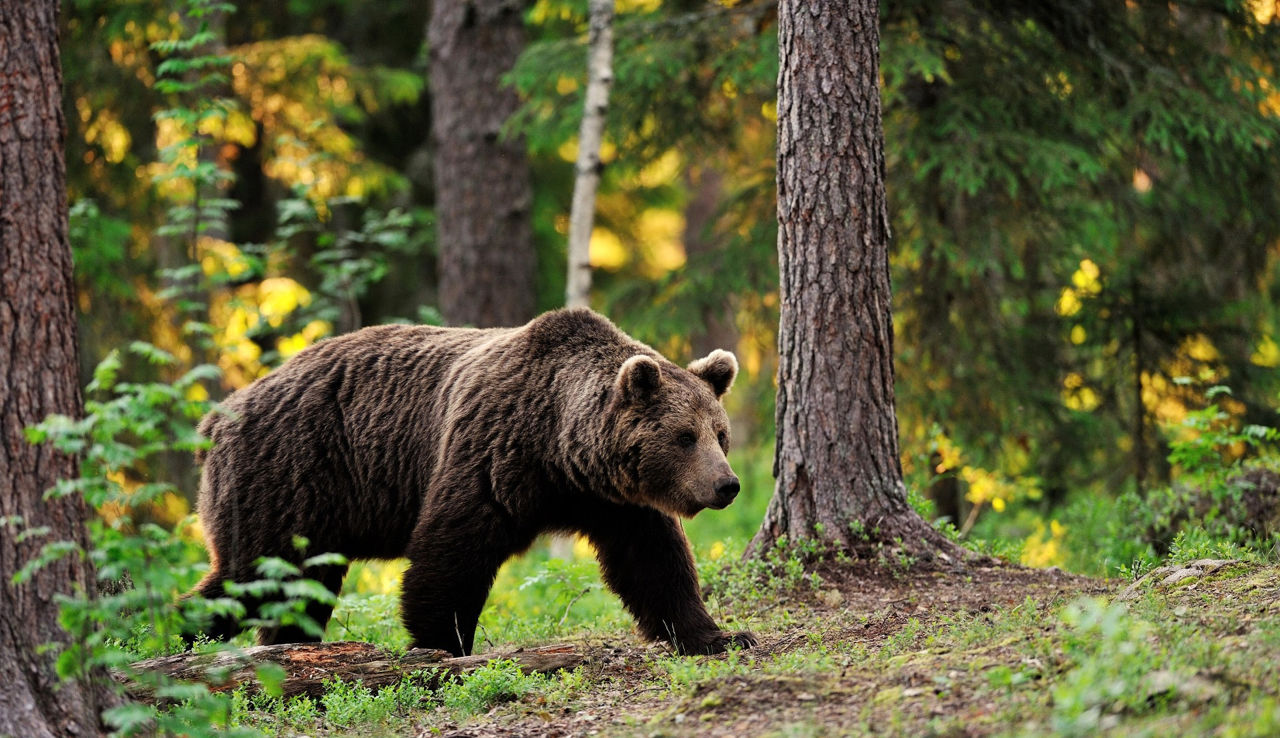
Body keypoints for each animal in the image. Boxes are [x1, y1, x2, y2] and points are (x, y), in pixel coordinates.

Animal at [189, 307, 756, 656]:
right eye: (684, 436)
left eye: (720, 434)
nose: (726, 485)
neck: (560, 449)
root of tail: (220, 415)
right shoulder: (492, 452)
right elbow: (452, 550)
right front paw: (442, 643)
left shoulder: (614, 500)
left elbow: (654, 563)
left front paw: (719, 636)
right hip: (290, 474)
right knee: (253, 574)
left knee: (295, 588)